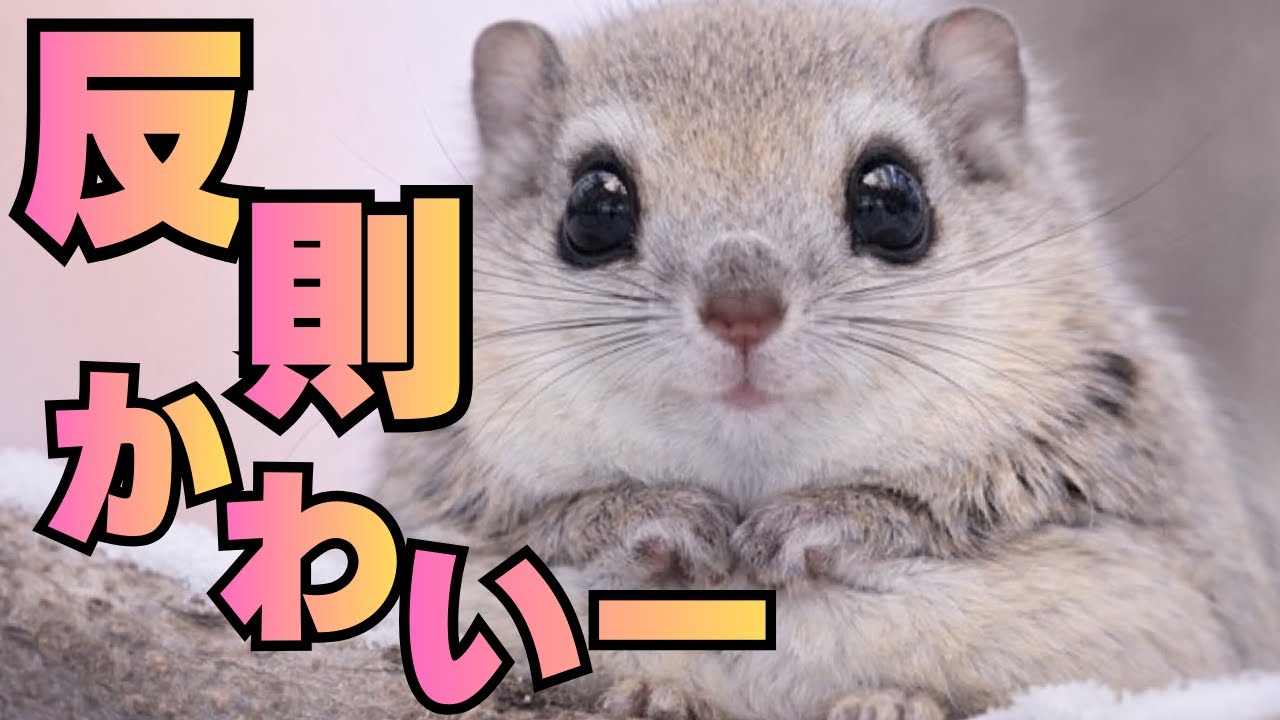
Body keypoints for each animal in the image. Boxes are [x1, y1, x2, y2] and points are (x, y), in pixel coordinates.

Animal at [376, 1, 1280, 718]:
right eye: (594, 205)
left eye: (892, 199)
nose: (743, 310)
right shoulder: (445, 492)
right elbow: (537, 519)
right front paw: (651, 518)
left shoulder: (1114, 482)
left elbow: (956, 506)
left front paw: (827, 521)